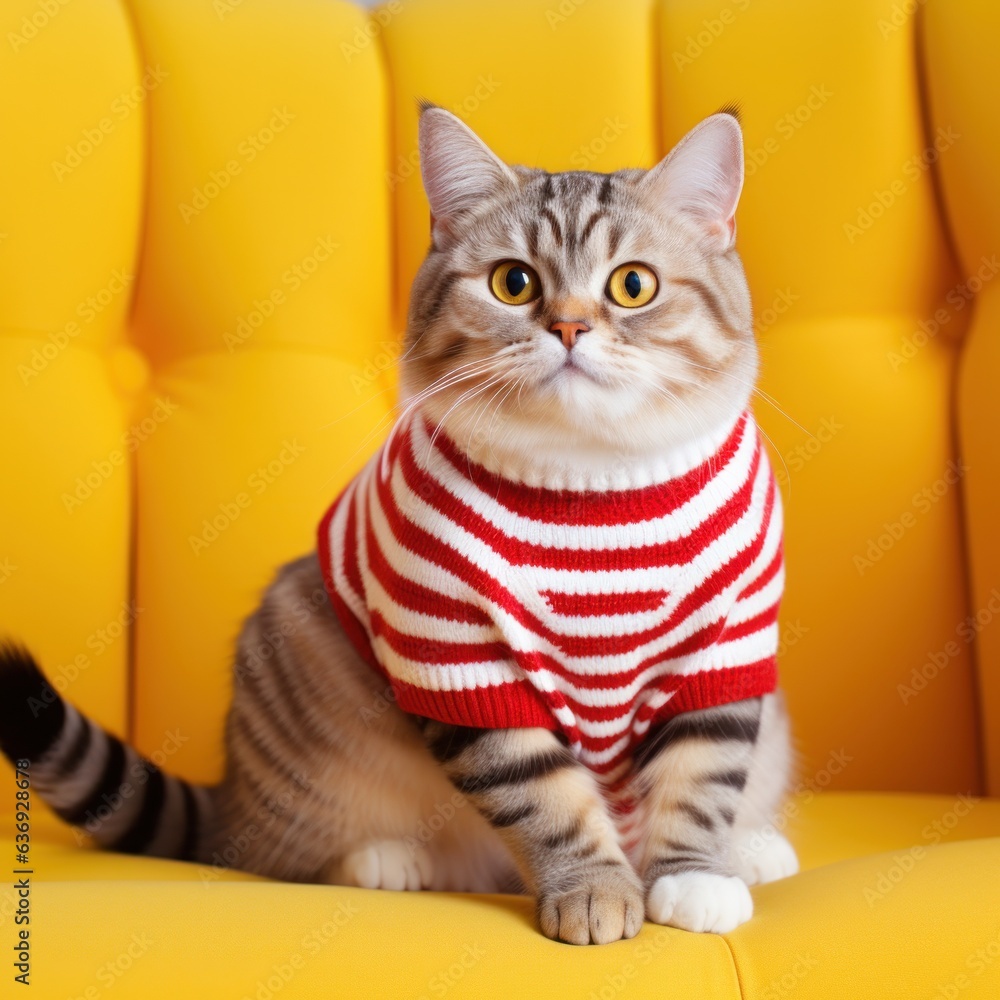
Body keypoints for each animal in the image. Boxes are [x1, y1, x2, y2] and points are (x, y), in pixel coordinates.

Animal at [0, 107, 796, 944]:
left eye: (633, 285)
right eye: (514, 282)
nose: (570, 328)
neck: (590, 481)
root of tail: (231, 792)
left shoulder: (726, 646)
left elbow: (702, 775)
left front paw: (693, 877)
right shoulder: (455, 652)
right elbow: (544, 794)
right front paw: (594, 888)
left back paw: (756, 849)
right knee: (279, 851)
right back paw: (382, 860)